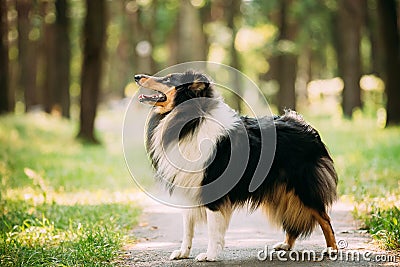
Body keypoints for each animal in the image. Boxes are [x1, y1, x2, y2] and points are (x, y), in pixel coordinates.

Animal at [135, 70, 338, 262]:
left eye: (169, 79)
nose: (137, 77)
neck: (190, 121)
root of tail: (304, 125)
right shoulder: (189, 189)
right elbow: (187, 227)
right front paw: (183, 253)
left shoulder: (211, 187)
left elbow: (212, 227)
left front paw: (210, 255)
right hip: (282, 191)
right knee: (292, 218)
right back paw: (286, 245)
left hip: (302, 187)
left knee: (324, 218)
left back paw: (332, 249)